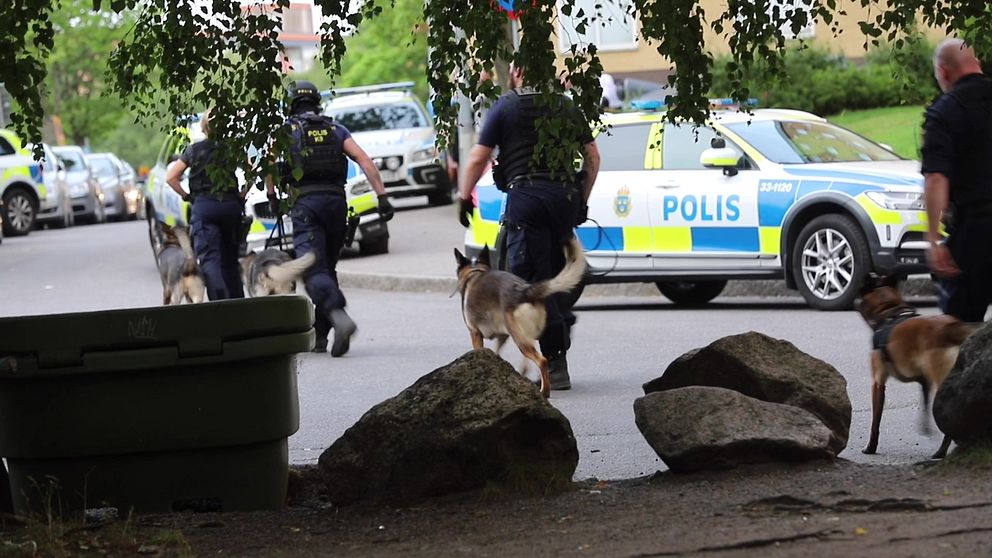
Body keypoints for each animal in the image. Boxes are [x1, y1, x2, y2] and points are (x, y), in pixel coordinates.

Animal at [454, 238, 584, 400]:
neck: (475, 271)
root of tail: (525, 291)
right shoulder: (502, 336)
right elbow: (496, 354)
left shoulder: (475, 333)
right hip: (524, 336)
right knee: (531, 362)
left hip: (519, 339)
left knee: (541, 361)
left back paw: (544, 391)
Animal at [852, 274, 976, 462]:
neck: (889, 310)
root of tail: (952, 328)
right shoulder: (923, 381)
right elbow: (924, 408)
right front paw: (925, 428)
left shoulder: (877, 383)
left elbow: (875, 422)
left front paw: (871, 447)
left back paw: (941, 452)